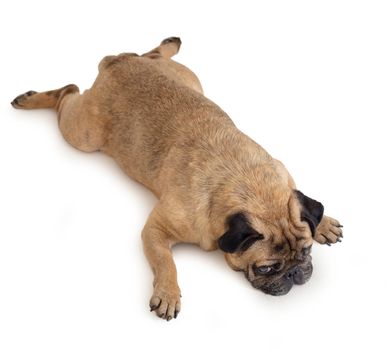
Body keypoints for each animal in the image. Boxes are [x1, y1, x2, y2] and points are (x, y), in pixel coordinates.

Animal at [10, 37, 342, 320]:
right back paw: (31, 100)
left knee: (149, 54)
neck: (246, 185)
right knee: (67, 91)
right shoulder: (155, 231)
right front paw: (168, 293)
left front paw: (323, 223)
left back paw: (165, 46)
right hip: (82, 134)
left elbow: (299, 196)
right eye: (266, 269)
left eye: (307, 251)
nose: (295, 273)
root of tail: (116, 62)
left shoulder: (282, 174)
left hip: (190, 80)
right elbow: (166, 264)